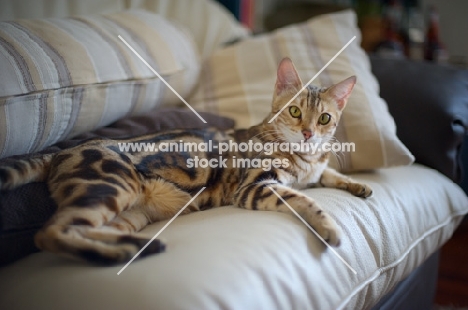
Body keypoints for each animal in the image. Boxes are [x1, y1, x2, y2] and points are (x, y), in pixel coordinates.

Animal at [0, 58, 372, 264]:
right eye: (294, 112)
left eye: (324, 119)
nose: (308, 133)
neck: (304, 157)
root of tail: (60, 150)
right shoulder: (257, 185)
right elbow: (306, 200)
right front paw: (330, 228)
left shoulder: (315, 169)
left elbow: (330, 174)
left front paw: (358, 185)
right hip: (110, 185)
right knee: (49, 233)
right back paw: (122, 254)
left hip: (129, 213)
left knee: (81, 229)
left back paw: (139, 247)